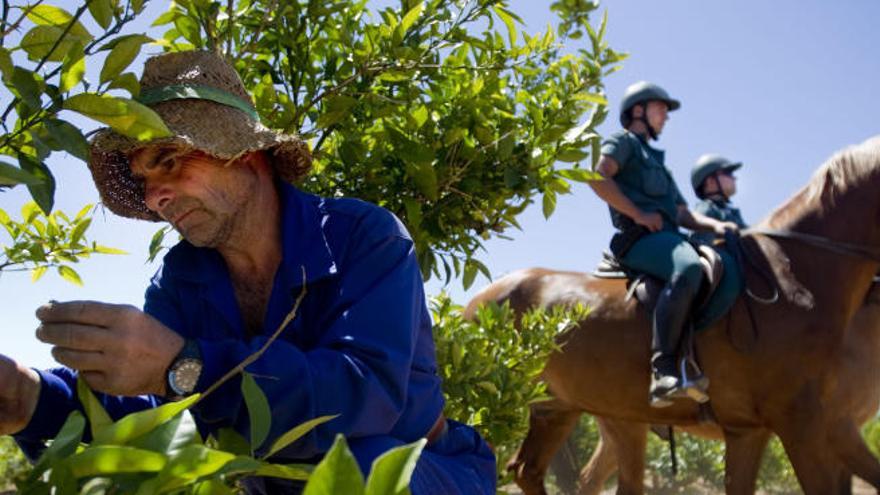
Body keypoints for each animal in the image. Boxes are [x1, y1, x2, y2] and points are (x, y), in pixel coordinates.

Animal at [468, 137, 880, 495]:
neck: (795, 274)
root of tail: (482, 297)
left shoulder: (753, 429)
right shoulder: (805, 424)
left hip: (563, 410)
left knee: (531, 471)